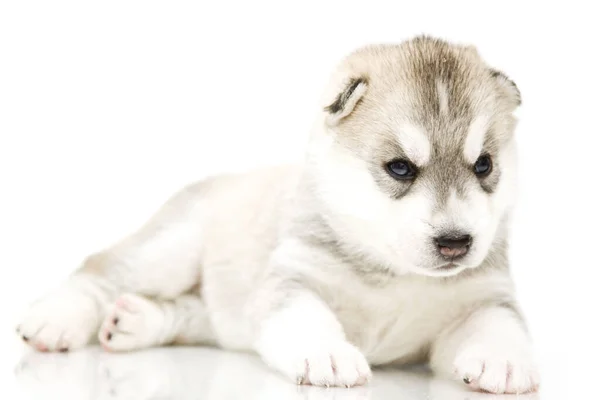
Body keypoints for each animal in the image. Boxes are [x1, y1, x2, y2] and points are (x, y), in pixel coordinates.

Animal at [15, 37, 540, 394]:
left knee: (194, 313)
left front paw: (504, 360)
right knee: (100, 271)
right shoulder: (291, 278)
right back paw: (54, 320)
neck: (392, 274)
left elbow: (499, 323)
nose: (456, 242)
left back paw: (136, 322)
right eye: (400, 168)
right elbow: (306, 314)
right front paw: (328, 354)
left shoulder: (483, 297)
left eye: (484, 165)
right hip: (170, 250)